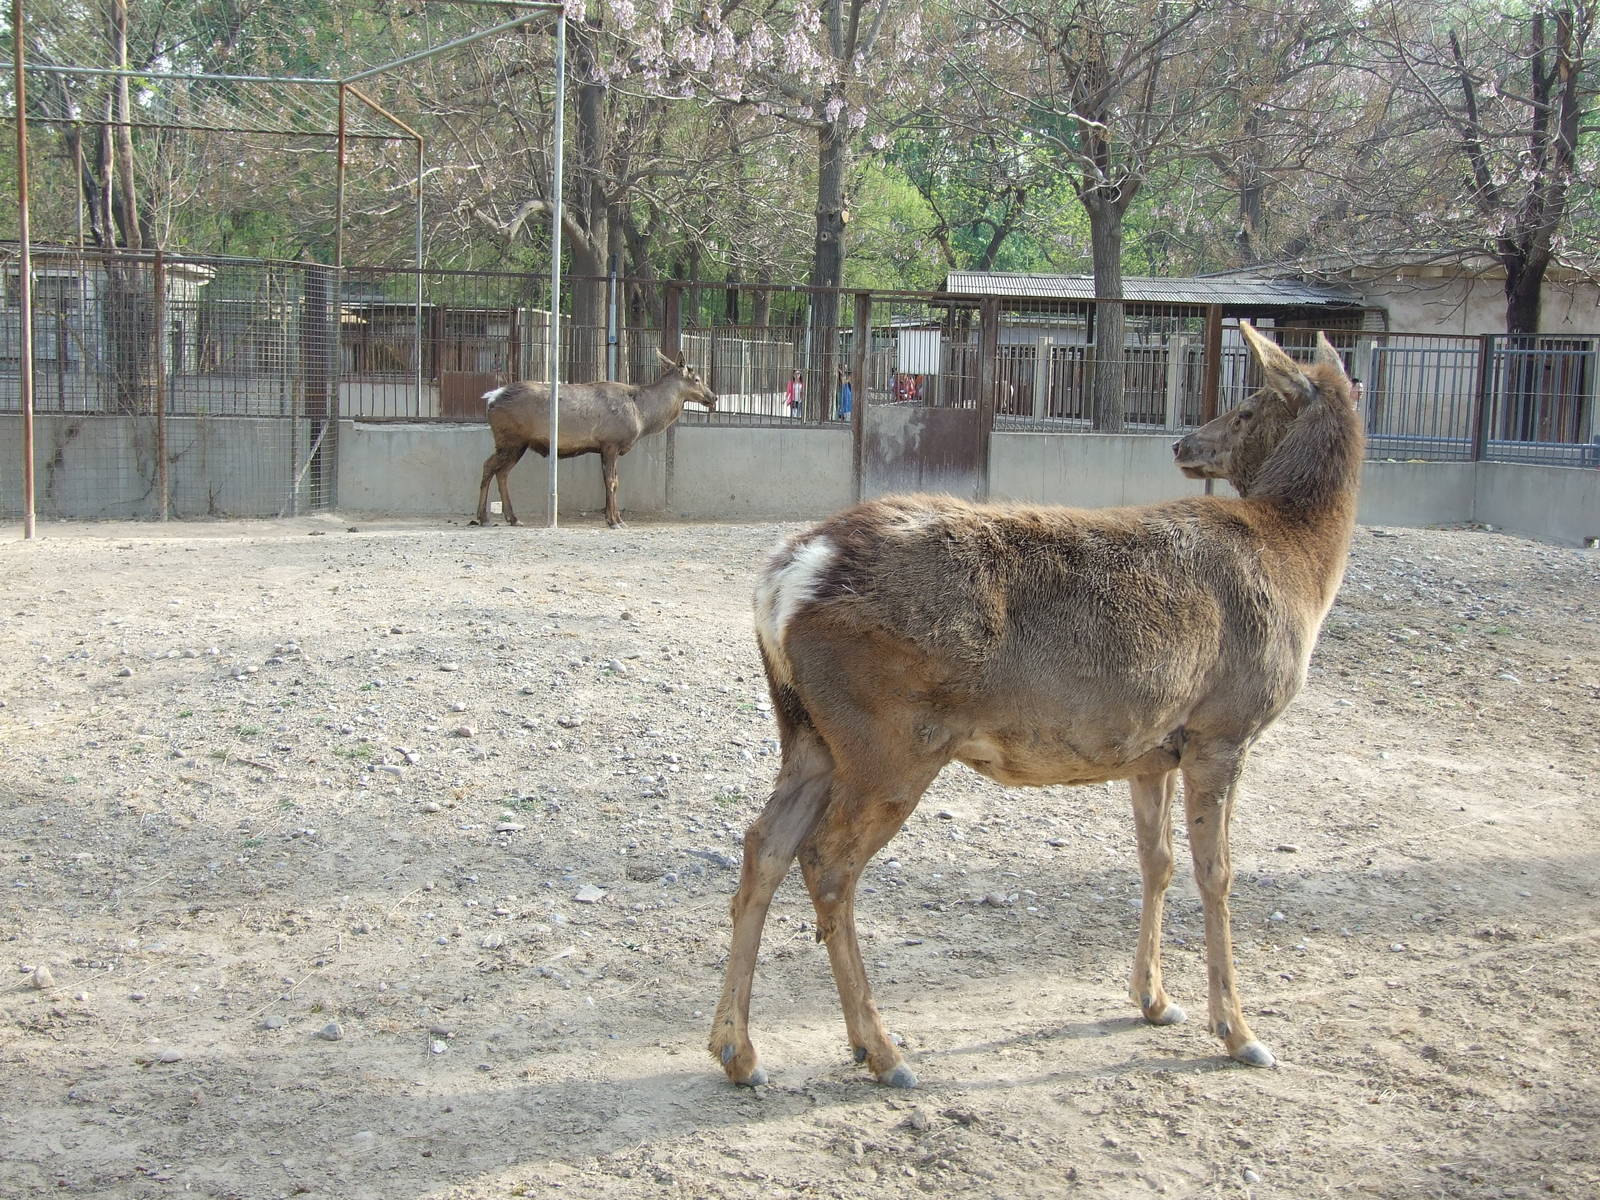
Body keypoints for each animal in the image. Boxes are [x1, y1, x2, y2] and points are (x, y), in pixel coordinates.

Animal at [471, 350, 718, 529]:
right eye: (697, 379)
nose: (713, 397)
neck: (643, 415)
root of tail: (492, 398)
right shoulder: (611, 443)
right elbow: (612, 482)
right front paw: (615, 521)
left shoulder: (604, 447)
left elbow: (613, 481)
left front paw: (614, 518)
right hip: (510, 439)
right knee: (488, 466)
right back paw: (482, 517)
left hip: (518, 444)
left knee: (502, 472)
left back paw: (512, 518)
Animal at [709, 322, 1363, 1090]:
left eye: (1249, 403)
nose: (1183, 444)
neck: (1302, 567)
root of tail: (783, 580)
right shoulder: (1224, 727)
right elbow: (1217, 873)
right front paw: (1238, 1031)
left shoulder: (1153, 749)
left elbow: (1157, 860)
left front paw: (1153, 999)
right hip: (891, 739)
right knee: (827, 859)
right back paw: (882, 1050)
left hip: (809, 732)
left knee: (764, 843)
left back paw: (738, 1050)